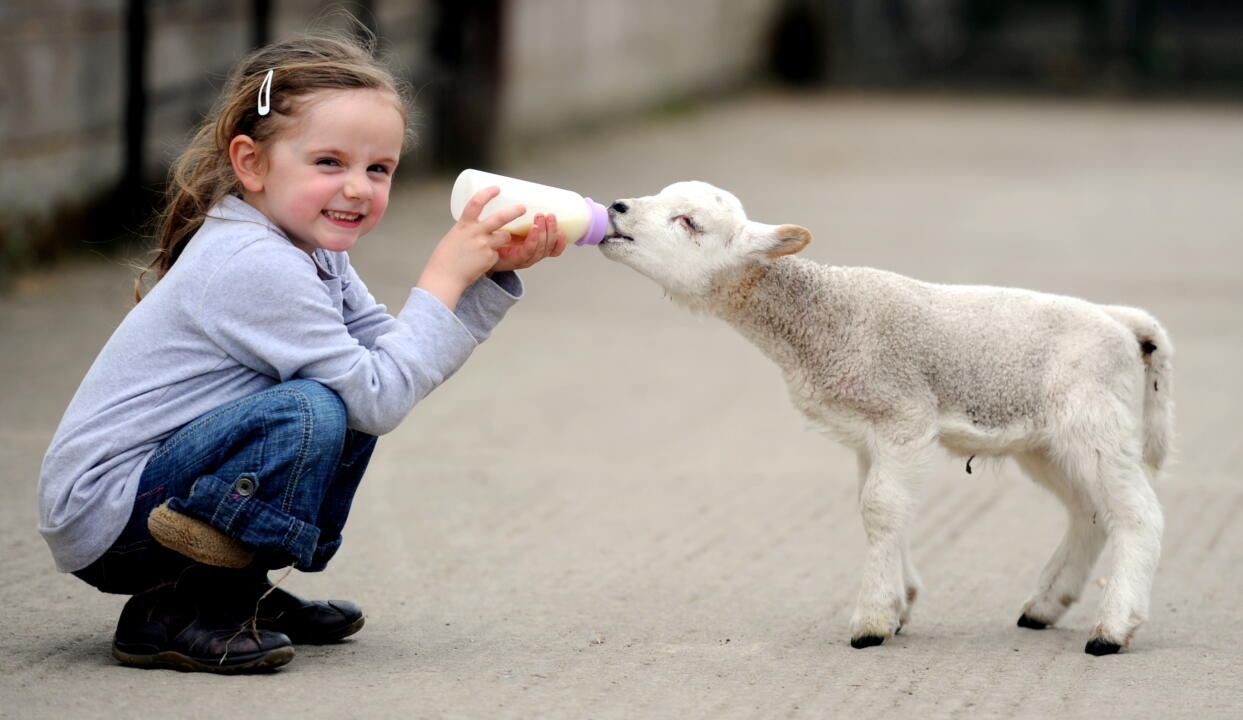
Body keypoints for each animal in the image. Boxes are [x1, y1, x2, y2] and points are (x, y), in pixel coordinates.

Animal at [599, 181, 1172, 655]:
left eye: (689, 222)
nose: (617, 207)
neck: (822, 317)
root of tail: (1123, 323)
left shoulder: (903, 414)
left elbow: (879, 509)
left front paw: (872, 621)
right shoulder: (867, 431)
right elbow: (878, 508)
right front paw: (901, 601)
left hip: (1094, 418)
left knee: (1139, 514)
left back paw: (1111, 630)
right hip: (1044, 441)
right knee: (1089, 512)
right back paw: (1044, 606)